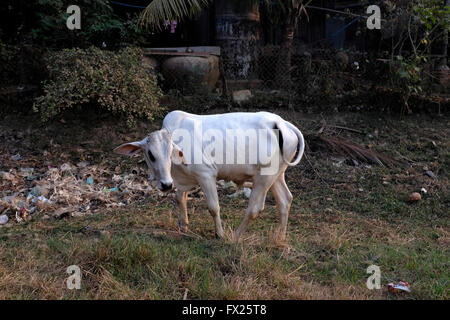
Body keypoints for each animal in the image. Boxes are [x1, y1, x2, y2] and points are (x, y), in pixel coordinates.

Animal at [114, 110, 304, 240]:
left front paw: (219, 234)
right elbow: (180, 198)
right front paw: (184, 226)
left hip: (264, 178)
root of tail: (282, 123)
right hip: (277, 175)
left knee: (255, 209)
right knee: (285, 200)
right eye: (151, 154)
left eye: (170, 152)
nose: (166, 185)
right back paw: (279, 237)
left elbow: (213, 207)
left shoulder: (206, 175)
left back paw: (234, 236)